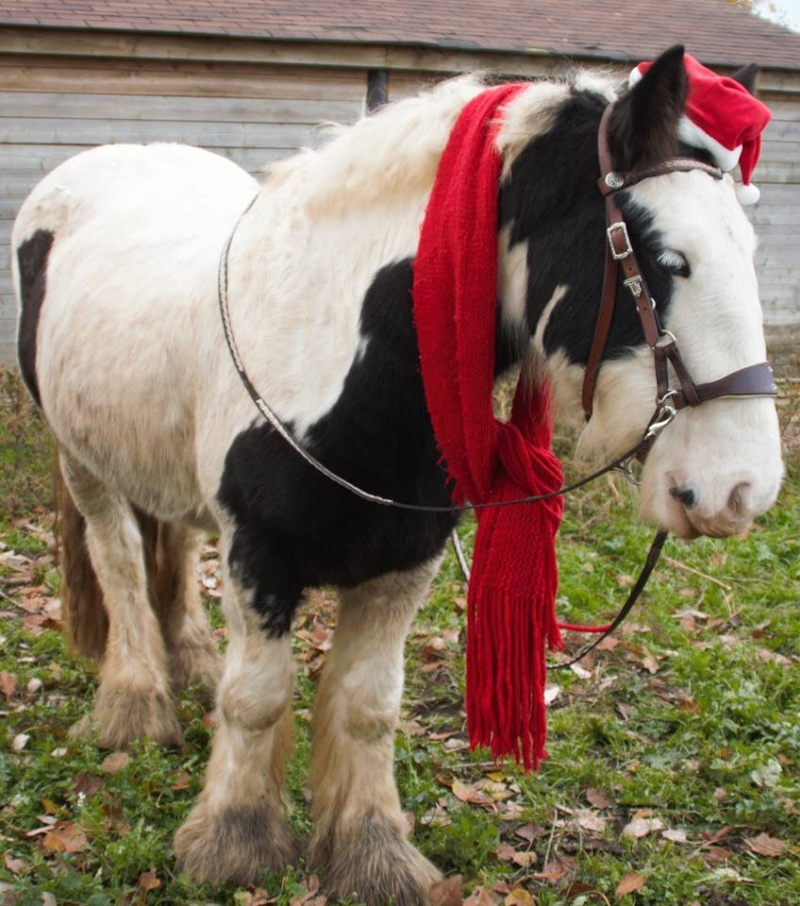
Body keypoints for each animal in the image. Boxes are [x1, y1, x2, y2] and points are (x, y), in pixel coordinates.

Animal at [10, 47, 780, 904]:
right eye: (672, 259)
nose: (744, 489)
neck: (328, 351)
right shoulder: (258, 557)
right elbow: (257, 701)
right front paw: (235, 844)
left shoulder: (405, 563)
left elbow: (369, 707)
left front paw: (371, 854)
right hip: (83, 460)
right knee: (117, 561)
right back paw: (137, 700)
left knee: (172, 544)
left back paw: (190, 659)